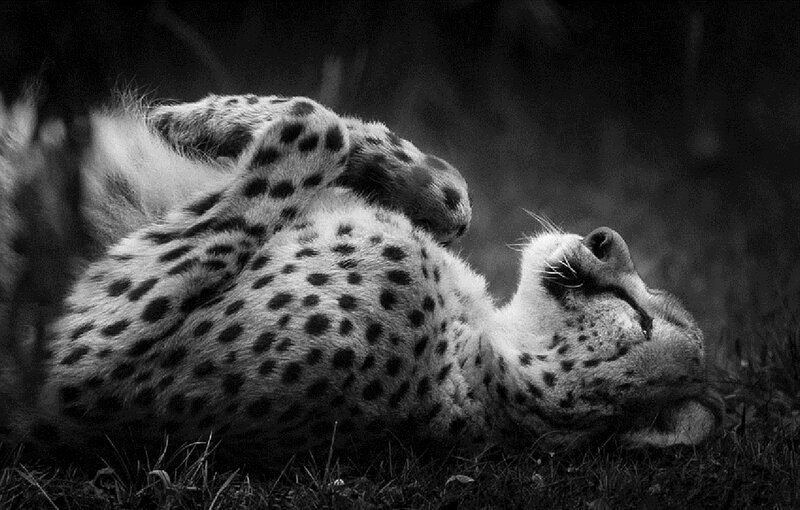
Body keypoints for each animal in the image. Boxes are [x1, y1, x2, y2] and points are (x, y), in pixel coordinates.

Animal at [0, 92, 720, 466]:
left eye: (641, 318)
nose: (604, 238)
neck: (487, 346)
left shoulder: (85, 367)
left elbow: (313, 130)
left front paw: (290, 125)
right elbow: (453, 194)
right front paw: (197, 118)